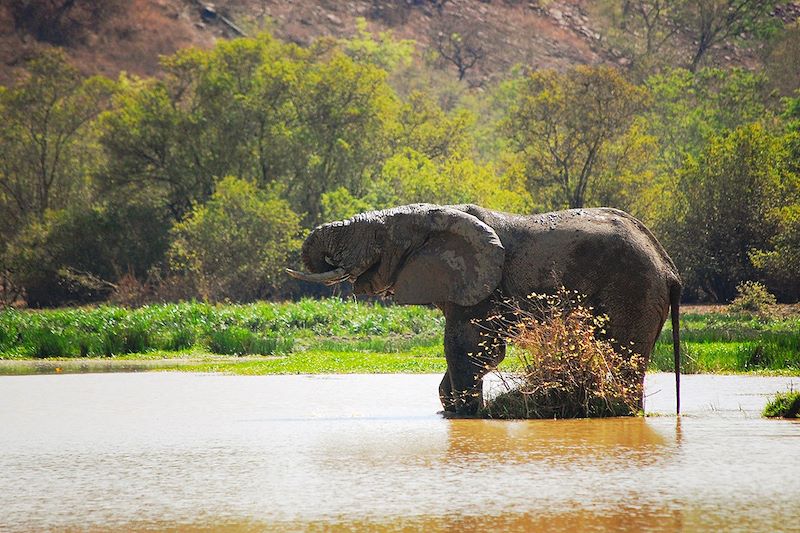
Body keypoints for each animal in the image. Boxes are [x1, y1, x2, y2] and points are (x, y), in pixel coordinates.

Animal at [288, 204, 680, 416]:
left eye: (379, 236)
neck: (436, 213)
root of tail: (669, 269)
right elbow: (478, 354)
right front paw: (451, 408)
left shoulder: (481, 287)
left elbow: (465, 347)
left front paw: (465, 414)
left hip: (633, 290)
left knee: (623, 356)